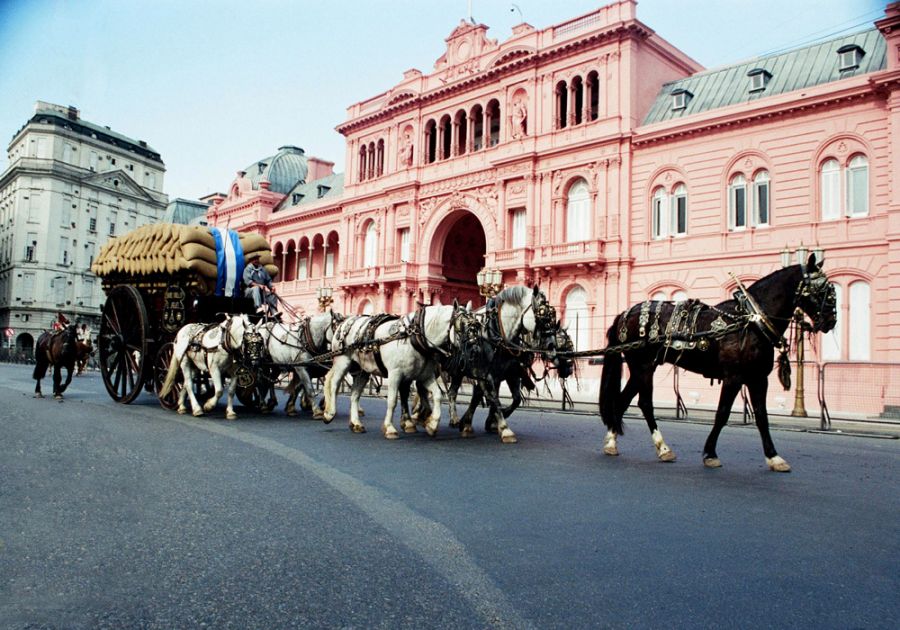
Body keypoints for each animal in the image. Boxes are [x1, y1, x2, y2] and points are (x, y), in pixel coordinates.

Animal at [324, 304, 460, 440]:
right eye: (462, 327)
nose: (461, 358)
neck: (411, 338)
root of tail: (344, 323)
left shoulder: (425, 376)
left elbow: (437, 394)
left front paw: (431, 425)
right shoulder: (395, 375)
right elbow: (392, 400)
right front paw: (390, 428)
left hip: (362, 371)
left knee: (355, 394)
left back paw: (356, 423)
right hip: (342, 361)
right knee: (334, 383)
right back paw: (329, 413)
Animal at [600, 254, 840, 472]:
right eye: (822, 290)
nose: (831, 321)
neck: (750, 322)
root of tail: (624, 314)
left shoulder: (758, 379)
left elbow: (762, 417)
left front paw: (773, 457)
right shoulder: (733, 378)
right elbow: (722, 413)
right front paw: (710, 453)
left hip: (642, 368)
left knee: (623, 400)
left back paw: (618, 443)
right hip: (643, 367)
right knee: (644, 403)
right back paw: (658, 447)